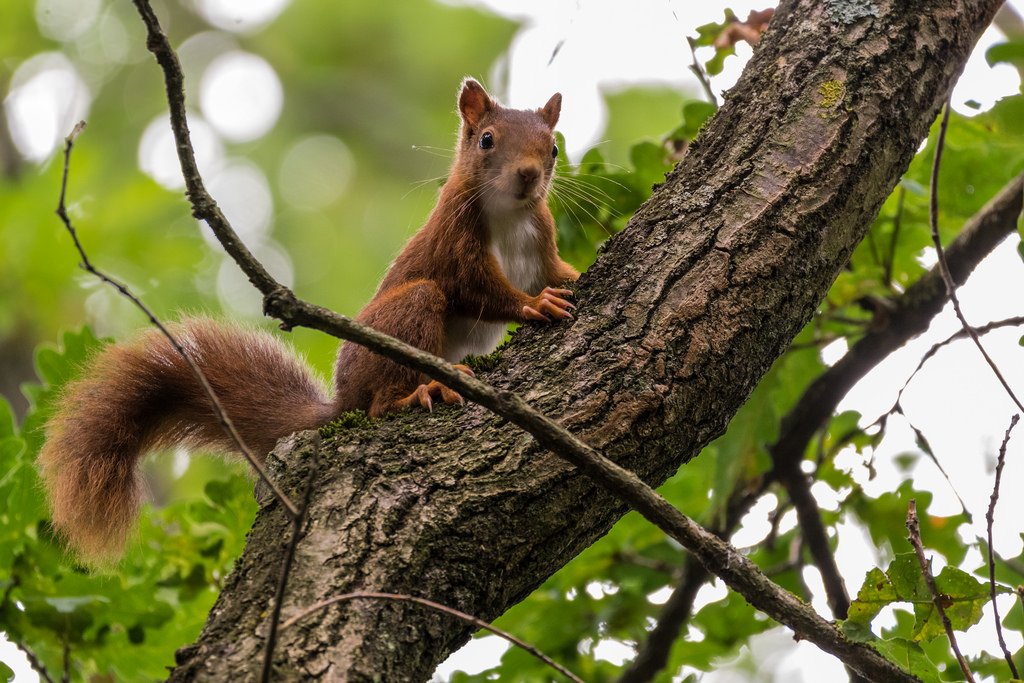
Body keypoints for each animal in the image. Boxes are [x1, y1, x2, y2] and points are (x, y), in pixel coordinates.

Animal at [39, 78, 581, 561]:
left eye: (553, 149)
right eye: (487, 139)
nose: (529, 175)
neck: (509, 216)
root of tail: (343, 398)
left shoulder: (541, 243)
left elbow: (556, 272)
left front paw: (572, 278)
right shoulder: (454, 242)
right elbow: (480, 290)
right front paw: (533, 306)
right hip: (404, 319)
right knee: (380, 399)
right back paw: (419, 391)